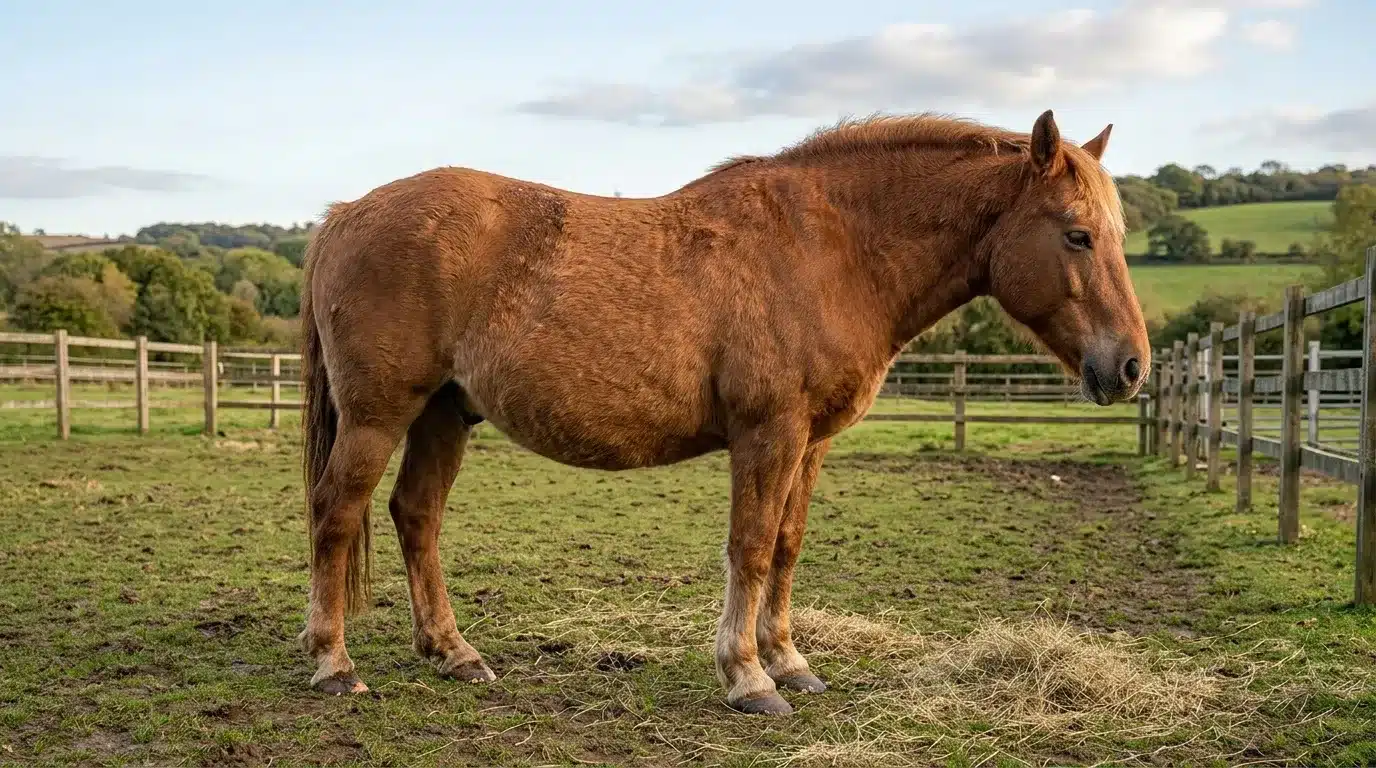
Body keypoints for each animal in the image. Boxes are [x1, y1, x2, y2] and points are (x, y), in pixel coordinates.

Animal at [295, 108, 1149, 716]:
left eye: (1115, 233)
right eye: (1077, 235)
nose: (1131, 366)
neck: (830, 250)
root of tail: (345, 213)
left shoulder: (811, 443)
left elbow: (788, 547)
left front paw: (790, 662)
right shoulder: (767, 433)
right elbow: (751, 547)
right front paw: (747, 678)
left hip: (443, 414)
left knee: (416, 516)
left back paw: (454, 654)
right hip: (378, 415)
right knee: (337, 513)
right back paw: (334, 663)